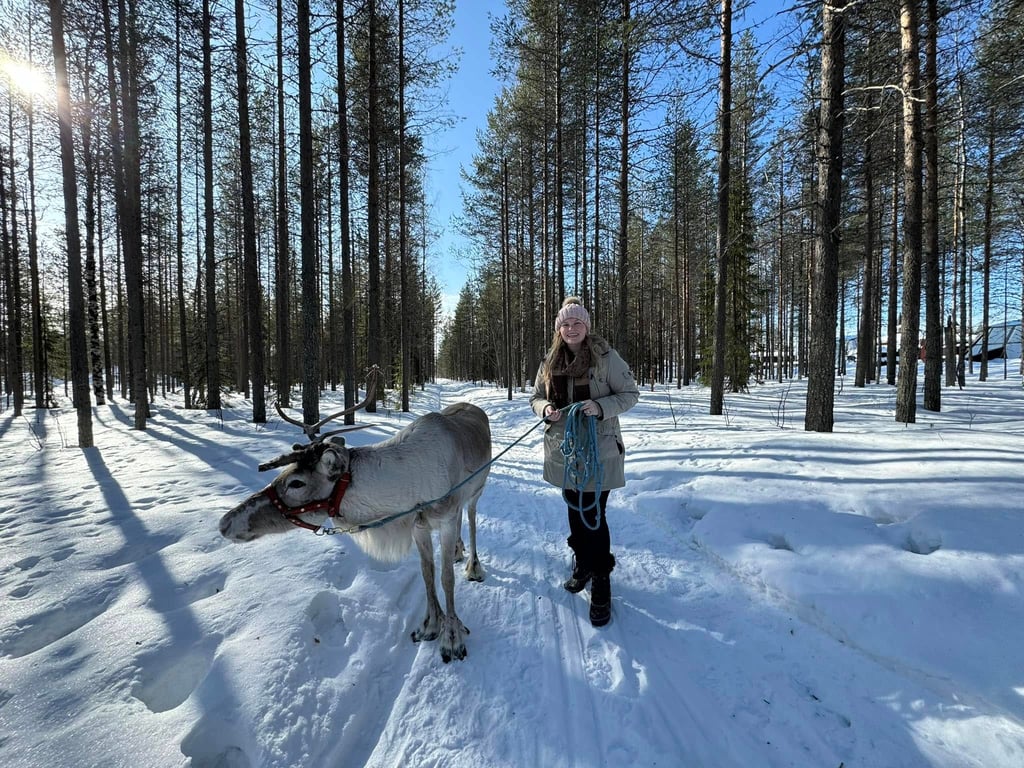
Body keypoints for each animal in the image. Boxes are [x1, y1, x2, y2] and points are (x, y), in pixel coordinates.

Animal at [219, 376, 491, 663]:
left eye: (296, 482)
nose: (225, 523)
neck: (409, 485)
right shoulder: (418, 524)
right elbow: (427, 573)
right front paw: (430, 625)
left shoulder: (445, 518)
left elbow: (446, 578)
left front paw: (451, 637)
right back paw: (458, 552)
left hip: (477, 490)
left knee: (471, 517)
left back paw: (474, 566)